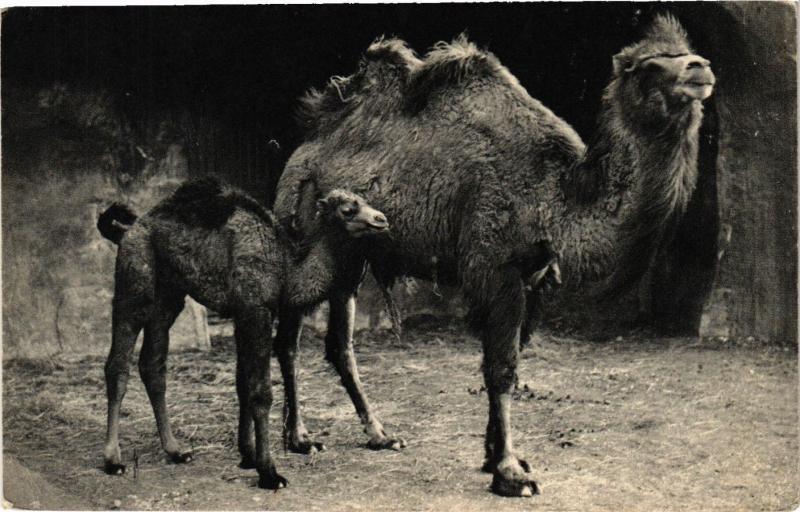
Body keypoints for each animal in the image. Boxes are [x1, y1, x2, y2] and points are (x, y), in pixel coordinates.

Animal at [97, 177, 389, 489]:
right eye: (347, 210)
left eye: (365, 201)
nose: (381, 219)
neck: (285, 266)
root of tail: (129, 230)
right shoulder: (255, 310)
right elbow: (260, 391)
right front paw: (269, 472)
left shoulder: (244, 315)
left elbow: (242, 384)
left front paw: (248, 455)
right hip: (134, 286)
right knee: (117, 365)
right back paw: (113, 460)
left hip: (168, 300)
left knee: (153, 365)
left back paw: (176, 451)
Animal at [273, 15, 714, 496]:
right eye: (647, 65)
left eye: (687, 53)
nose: (700, 68)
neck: (553, 196)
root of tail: (302, 151)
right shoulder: (494, 268)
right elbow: (501, 368)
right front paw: (510, 473)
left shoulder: (535, 277)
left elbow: (509, 364)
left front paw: (497, 458)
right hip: (300, 229)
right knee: (289, 338)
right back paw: (300, 438)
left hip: (350, 255)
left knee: (340, 344)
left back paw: (381, 435)